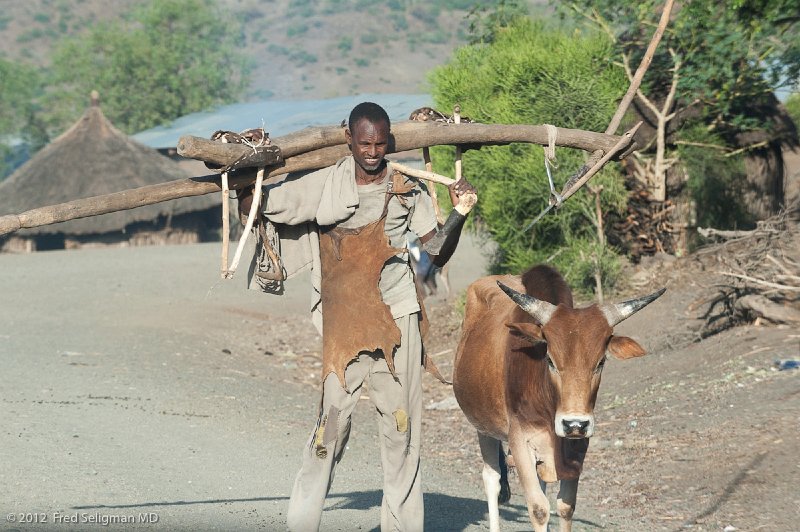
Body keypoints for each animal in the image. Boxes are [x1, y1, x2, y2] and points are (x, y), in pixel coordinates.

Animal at [454, 264, 664, 528]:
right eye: (551, 360)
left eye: (601, 362)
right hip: (483, 427)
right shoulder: (519, 440)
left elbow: (565, 506)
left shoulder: (578, 445)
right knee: (492, 479)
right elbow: (539, 508)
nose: (574, 423)